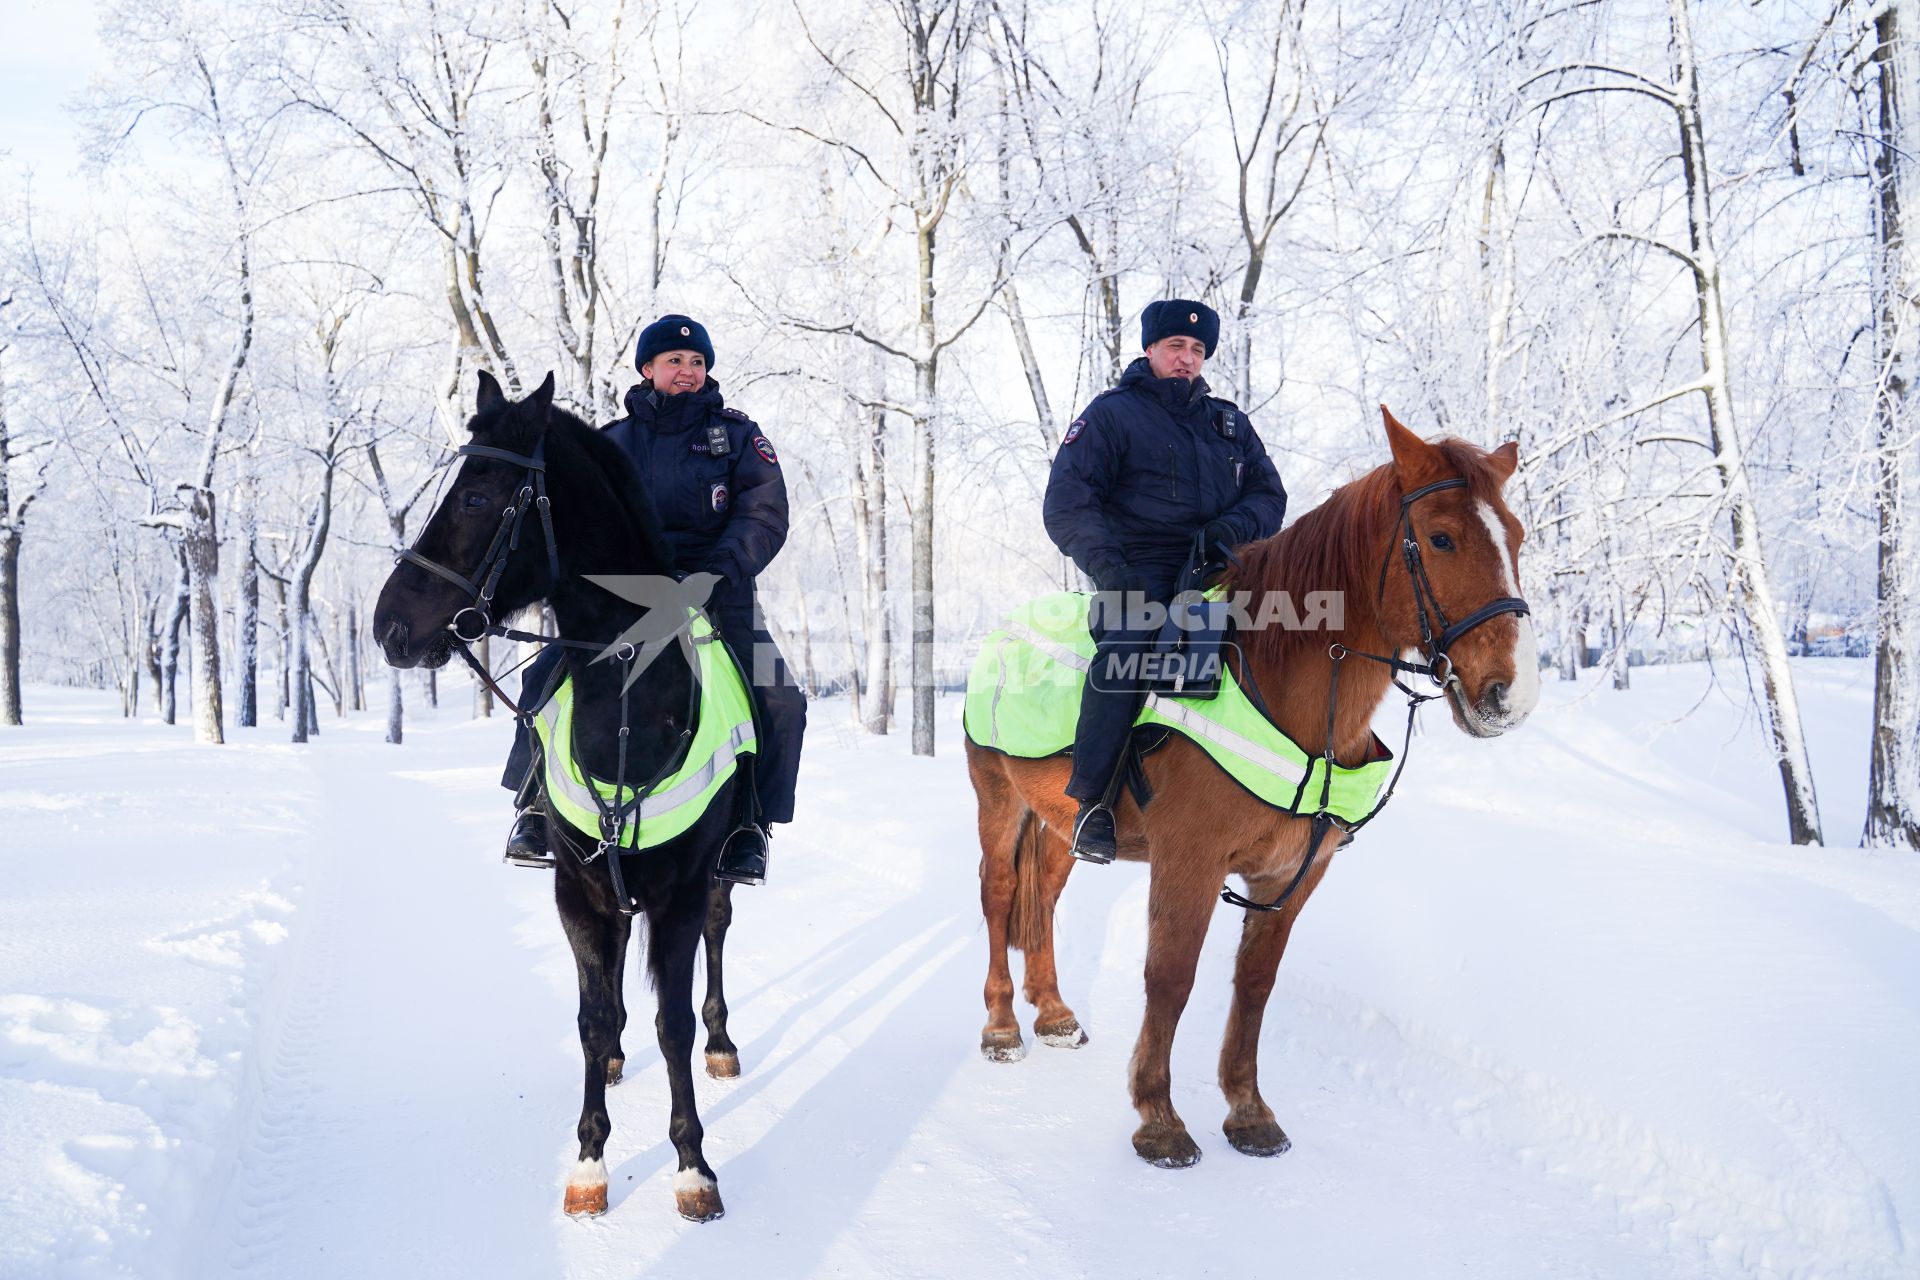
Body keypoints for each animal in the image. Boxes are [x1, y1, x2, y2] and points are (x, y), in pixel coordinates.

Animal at [374, 370, 741, 1220]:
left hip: (716, 875)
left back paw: (722, 1044)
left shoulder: (678, 894)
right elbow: (591, 1015)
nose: (387, 626)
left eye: (476, 497)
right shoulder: (575, 890)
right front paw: (590, 1162)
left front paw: (692, 1167)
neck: (628, 709)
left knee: (717, 937)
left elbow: (673, 1022)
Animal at [967, 412, 1536, 1174]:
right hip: (998, 800)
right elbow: (1171, 977)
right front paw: (1158, 1119)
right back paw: (1002, 1026)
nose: (1510, 695)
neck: (1279, 685)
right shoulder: (1190, 864)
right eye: (1441, 537)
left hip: (1062, 824)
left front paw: (1248, 1111)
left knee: (1043, 902)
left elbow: (1254, 986)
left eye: (1517, 536)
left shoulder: (1291, 874)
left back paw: (1054, 1013)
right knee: (1001, 897)